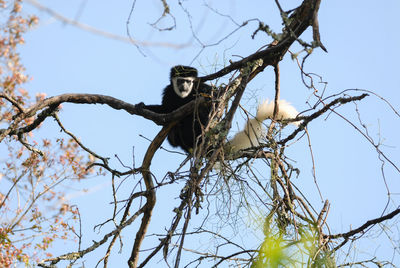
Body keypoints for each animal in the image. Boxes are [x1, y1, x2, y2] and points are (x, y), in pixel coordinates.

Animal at [136, 65, 298, 155]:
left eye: (188, 81)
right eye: (180, 81)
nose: (184, 86)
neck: (183, 96)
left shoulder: (201, 87)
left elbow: (215, 98)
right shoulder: (168, 92)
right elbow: (165, 111)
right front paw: (141, 106)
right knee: (173, 135)